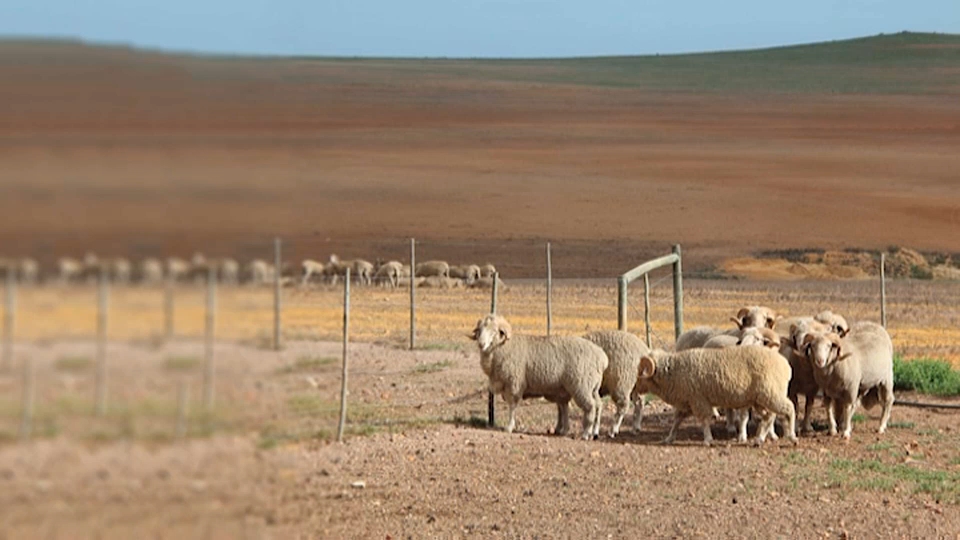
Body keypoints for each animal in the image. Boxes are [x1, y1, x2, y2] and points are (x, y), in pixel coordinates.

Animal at [469, 314, 608, 440]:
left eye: (494, 331)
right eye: (479, 330)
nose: (481, 344)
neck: (503, 347)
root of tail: (602, 357)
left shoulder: (514, 384)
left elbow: (512, 406)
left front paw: (509, 427)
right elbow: (563, 408)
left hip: (581, 386)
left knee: (590, 407)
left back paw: (586, 433)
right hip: (592, 387)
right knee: (597, 405)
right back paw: (592, 432)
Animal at [636, 347, 797, 446]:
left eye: (641, 371)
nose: (634, 388)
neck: (674, 372)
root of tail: (786, 365)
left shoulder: (698, 400)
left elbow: (704, 420)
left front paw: (708, 439)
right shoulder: (688, 401)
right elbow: (677, 420)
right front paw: (669, 438)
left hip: (770, 393)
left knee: (789, 409)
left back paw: (792, 437)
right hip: (760, 399)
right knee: (769, 416)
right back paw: (759, 439)